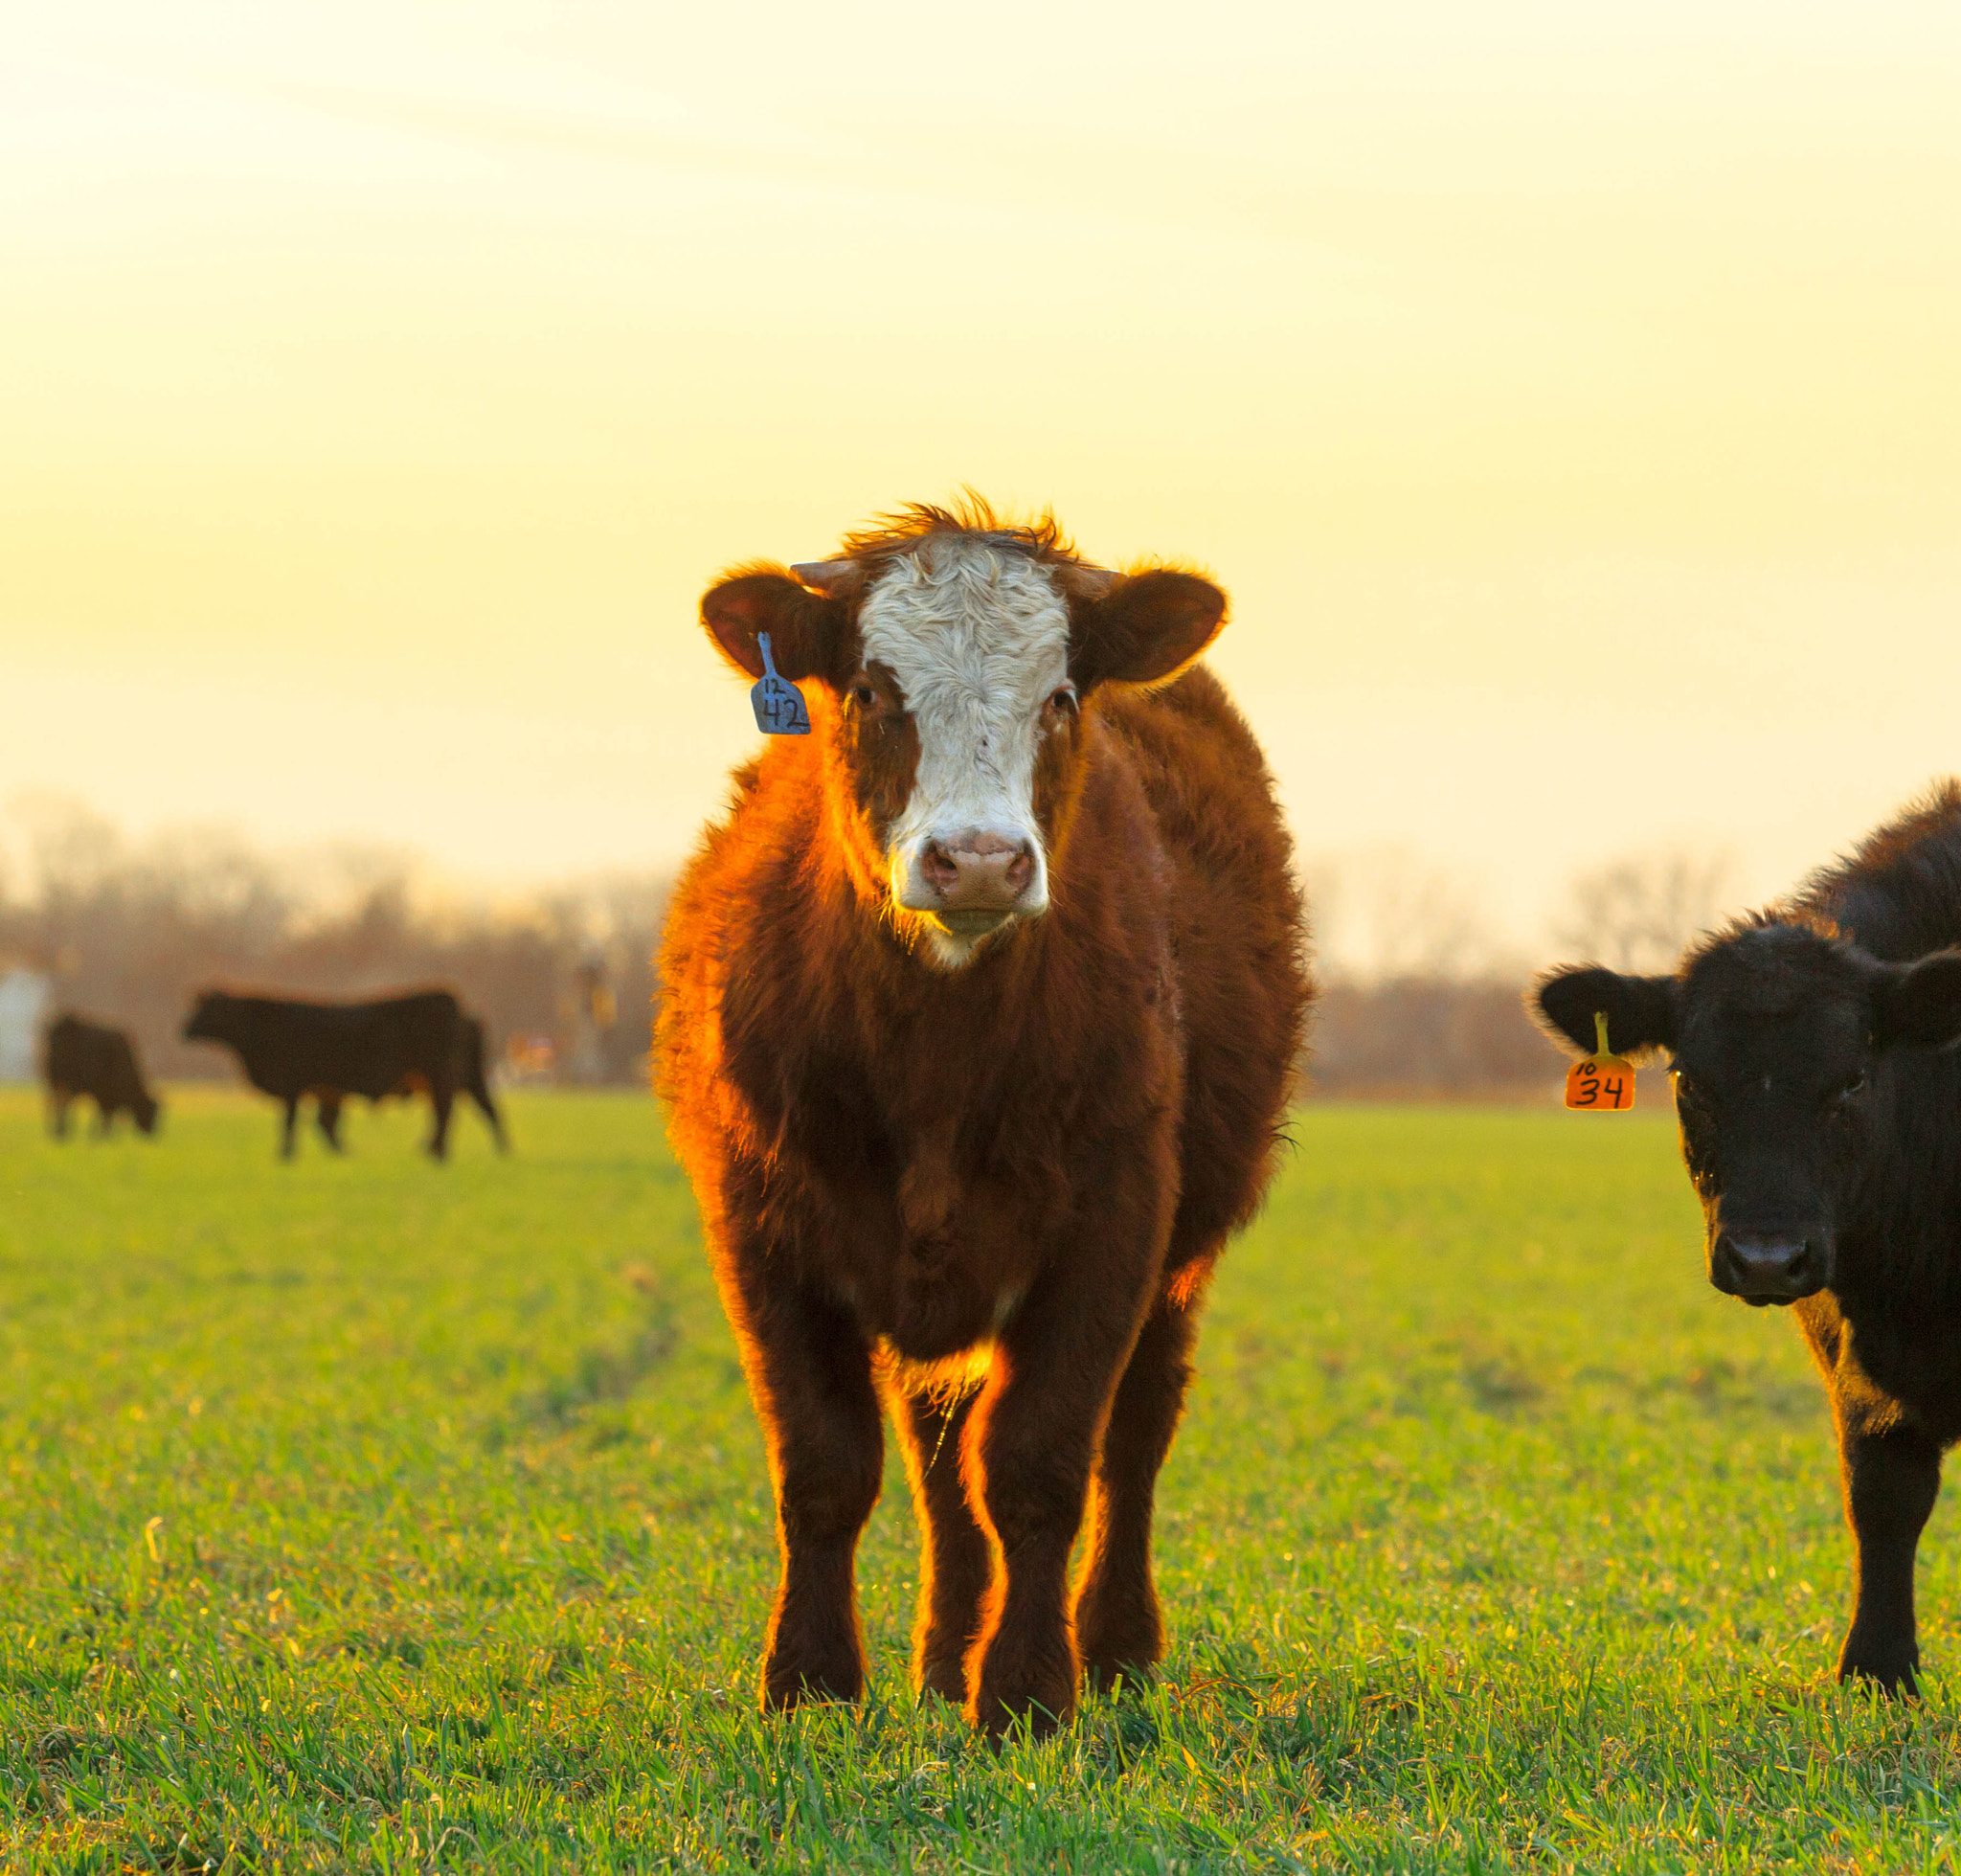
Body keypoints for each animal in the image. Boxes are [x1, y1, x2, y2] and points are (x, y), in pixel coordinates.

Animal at [43, 1014, 161, 1138]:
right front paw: (102, 1134)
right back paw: (62, 1130)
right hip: (67, 1082)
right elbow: (105, 1113)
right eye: (150, 1111)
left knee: (52, 1102)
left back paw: (54, 1130)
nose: (152, 1132)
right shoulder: (102, 1092)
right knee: (61, 1103)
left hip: (53, 1080)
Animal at [182, 989, 507, 1161]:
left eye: (210, 1008)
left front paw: (286, 1154)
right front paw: (340, 1153)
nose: (183, 1029)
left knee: (447, 1111)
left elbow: (293, 1122)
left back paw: (437, 1152)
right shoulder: (325, 1090)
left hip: (440, 1076)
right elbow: (324, 1124)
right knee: (483, 1110)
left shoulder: (295, 1085)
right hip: (464, 1077)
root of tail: (461, 1009)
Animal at [657, 500, 1311, 1736]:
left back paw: (1112, 1643)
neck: (932, 1063)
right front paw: (811, 1682)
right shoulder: (759, 1225)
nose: (978, 862)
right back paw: (940, 1653)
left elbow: (1042, 1465)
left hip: (1176, 1259)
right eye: (870, 690)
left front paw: (1025, 1692)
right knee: (937, 1453)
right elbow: (826, 1465)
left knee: (1131, 1435)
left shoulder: (1111, 1224)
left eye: (1058, 697)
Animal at [1536, 781, 1961, 1695]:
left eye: (1854, 1077)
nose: (1767, 1258)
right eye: (1690, 1080)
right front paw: (1878, 1671)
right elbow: (1883, 1496)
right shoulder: (1857, 1359)